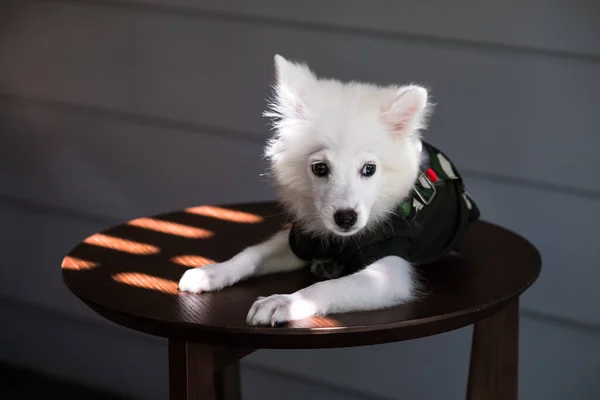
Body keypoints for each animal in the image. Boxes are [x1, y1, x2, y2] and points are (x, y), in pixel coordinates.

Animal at [178, 54, 478, 326]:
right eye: (320, 168)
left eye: (369, 169)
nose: (345, 218)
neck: (340, 241)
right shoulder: (301, 238)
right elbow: (251, 254)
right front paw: (212, 272)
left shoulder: (390, 272)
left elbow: (325, 288)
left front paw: (284, 302)